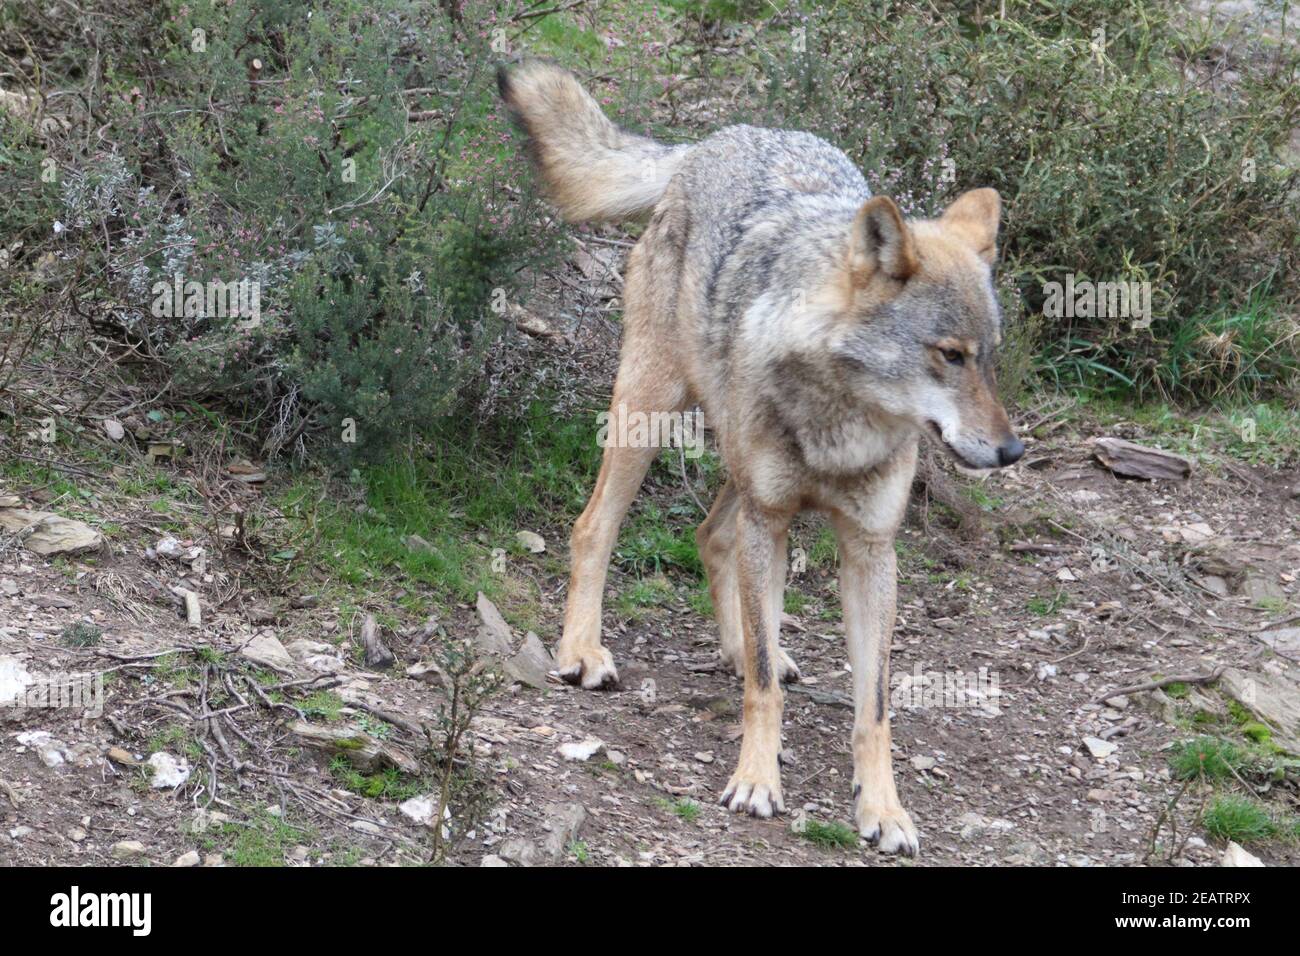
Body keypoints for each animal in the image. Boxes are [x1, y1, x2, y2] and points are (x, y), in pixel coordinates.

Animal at [501, 59, 1019, 858]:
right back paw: (583, 650)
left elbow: (873, 707)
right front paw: (755, 783)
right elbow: (766, 693)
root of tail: (717, 139)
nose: (1011, 449)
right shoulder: (771, 518)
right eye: (950, 355)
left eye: (989, 359)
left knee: (711, 540)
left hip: (738, 478)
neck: (842, 419)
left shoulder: (869, 549)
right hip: (653, 415)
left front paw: (885, 810)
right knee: (595, 528)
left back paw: (743, 646)